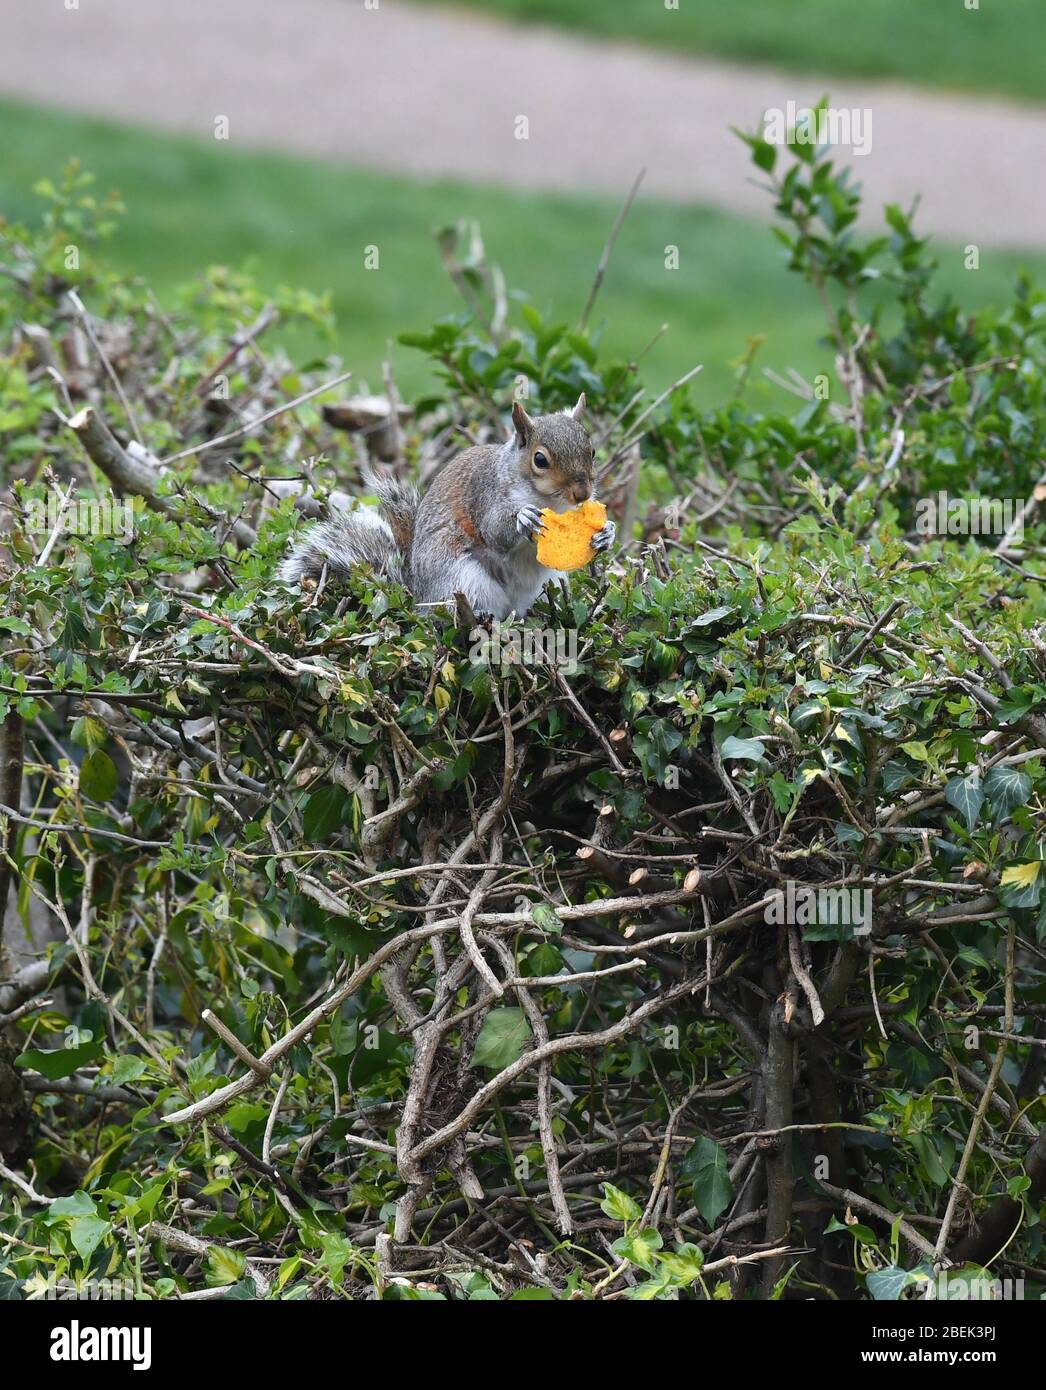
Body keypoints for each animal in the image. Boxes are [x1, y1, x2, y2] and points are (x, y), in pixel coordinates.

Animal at [279, 393, 616, 620]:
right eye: (540, 460)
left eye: (592, 451)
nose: (582, 493)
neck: (549, 500)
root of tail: (418, 597)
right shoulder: (485, 496)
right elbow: (495, 532)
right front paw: (524, 519)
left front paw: (606, 533)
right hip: (464, 581)